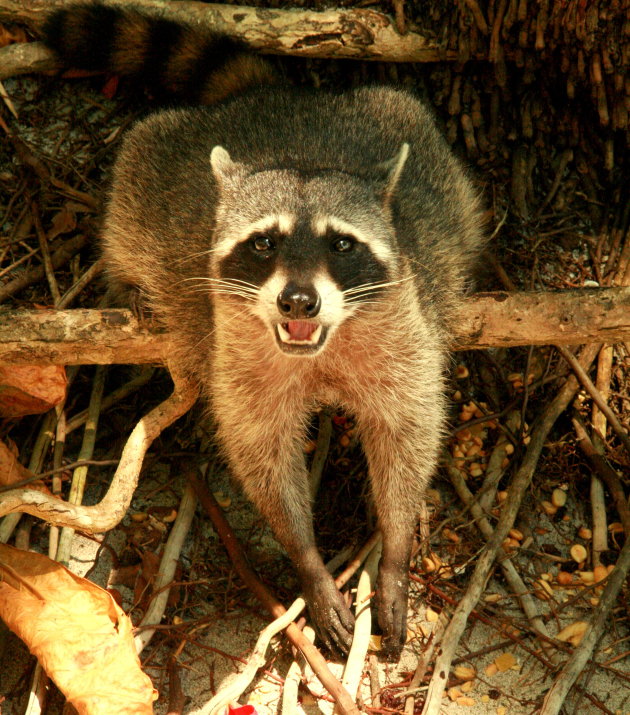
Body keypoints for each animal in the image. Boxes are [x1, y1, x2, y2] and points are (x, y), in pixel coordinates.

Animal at [42, 4, 486, 660]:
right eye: (264, 243)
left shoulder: (405, 337)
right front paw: (306, 557)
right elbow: (262, 451)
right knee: (132, 188)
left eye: (341, 244)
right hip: (146, 183)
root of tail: (276, 98)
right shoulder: (235, 354)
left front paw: (397, 544)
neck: (319, 345)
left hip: (429, 159)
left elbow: (406, 432)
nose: (297, 298)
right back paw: (129, 279)